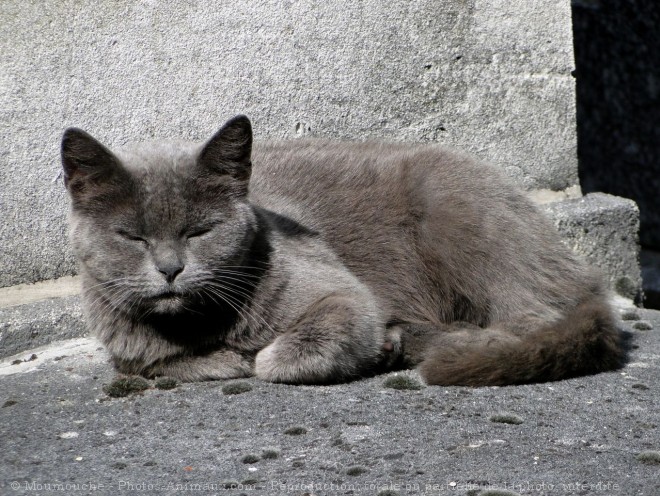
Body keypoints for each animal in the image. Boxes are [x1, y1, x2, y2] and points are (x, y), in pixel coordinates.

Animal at [60, 114, 624, 386]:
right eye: (132, 236)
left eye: (200, 231)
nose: (171, 269)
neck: (201, 323)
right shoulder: (129, 348)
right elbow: (151, 364)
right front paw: (224, 359)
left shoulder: (340, 295)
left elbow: (275, 359)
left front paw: (256, 357)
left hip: (455, 206)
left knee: (530, 320)